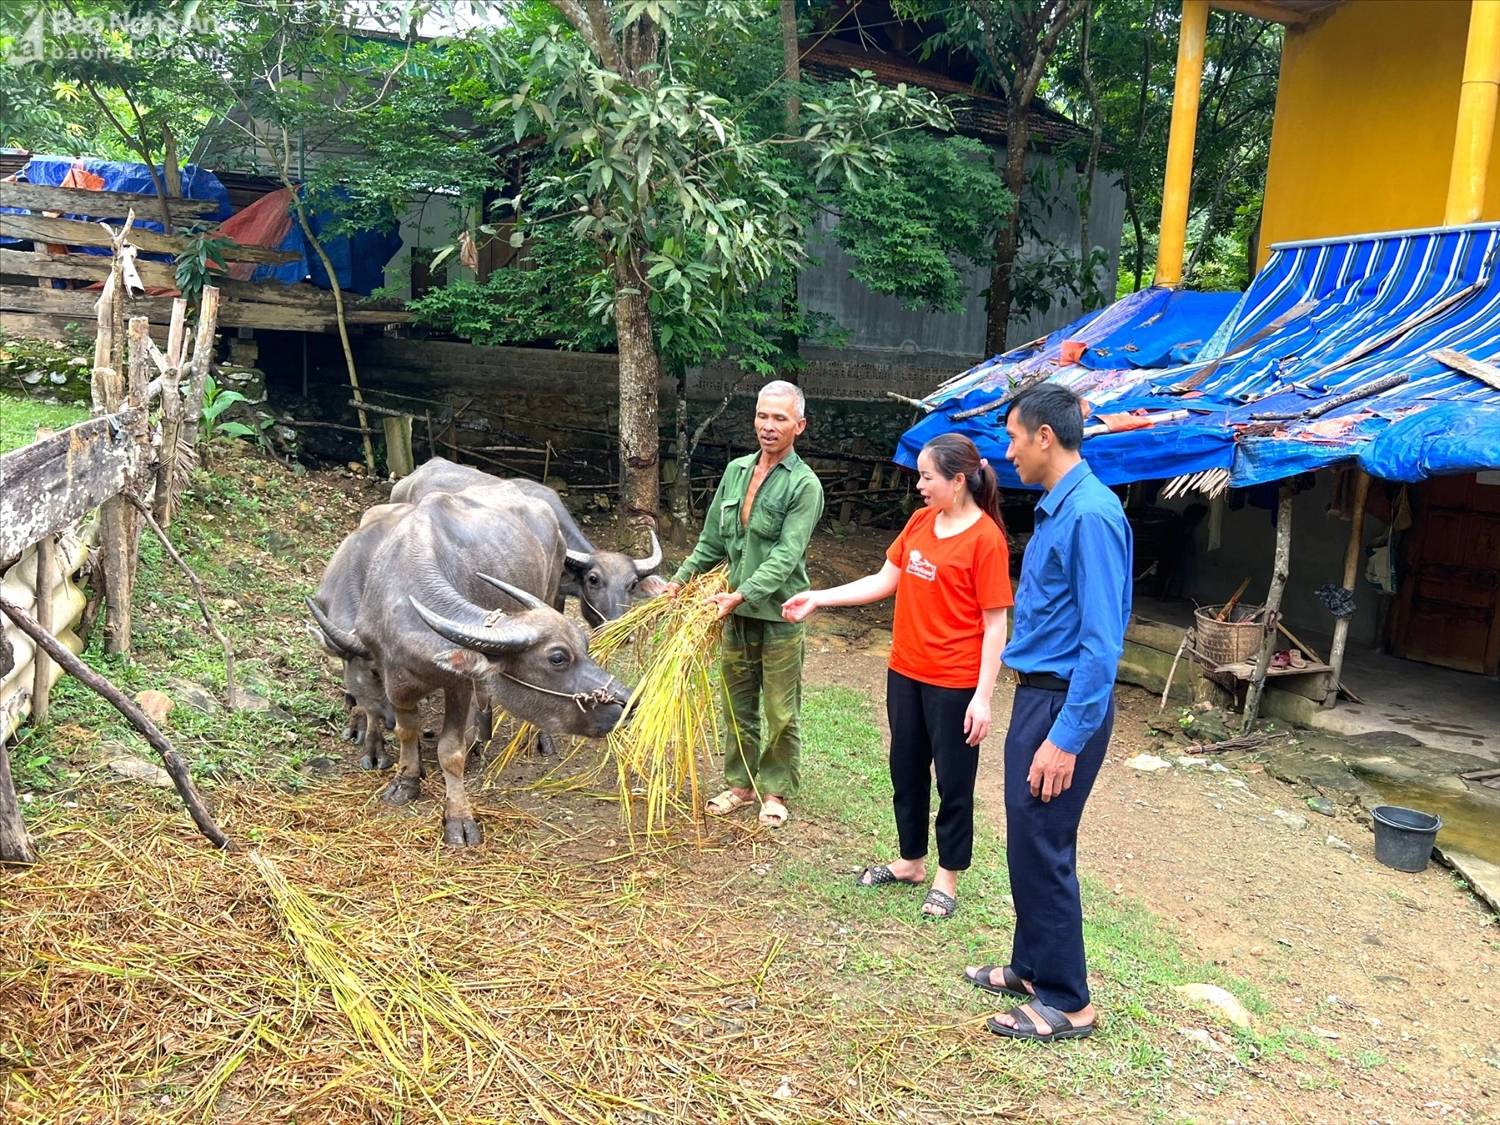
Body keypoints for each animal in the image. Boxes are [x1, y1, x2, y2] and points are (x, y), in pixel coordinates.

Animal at [331, 486, 630, 846]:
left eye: (584, 646)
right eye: (558, 657)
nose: (629, 702)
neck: (400, 598)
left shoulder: (457, 683)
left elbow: (450, 751)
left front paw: (458, 818)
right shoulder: (396, 678)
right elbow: (406, 730)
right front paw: (406, 780)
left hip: (551, 589)